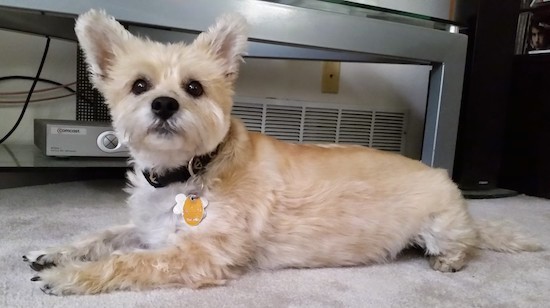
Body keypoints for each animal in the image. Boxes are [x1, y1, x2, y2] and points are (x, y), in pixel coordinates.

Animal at [23, 8, 540, 294]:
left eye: (193, 87)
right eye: (139, 85)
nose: (165, 104)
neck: (187, 172)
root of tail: (444, 178)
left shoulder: (199, 254)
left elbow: (127, 260)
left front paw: (67, 277)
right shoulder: (148, 228)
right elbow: (107, 235)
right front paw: (56, 253)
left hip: (442, 228)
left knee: (466, 245)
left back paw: (449, 259)